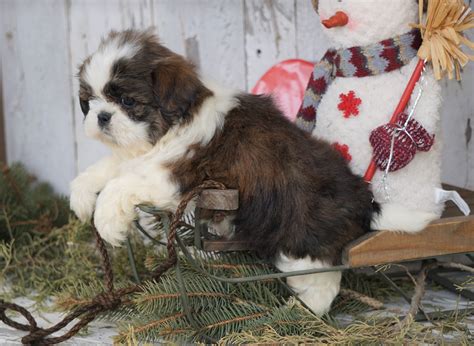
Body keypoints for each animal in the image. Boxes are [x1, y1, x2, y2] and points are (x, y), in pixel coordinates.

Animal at [70, 30, 380, 316]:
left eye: (127, 101)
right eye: (90, 100)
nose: (102, 116)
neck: (174, 125)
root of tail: (366, 202)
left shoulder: (174, 176)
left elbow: (120, 184)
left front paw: (106, 221)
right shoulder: (141, 157)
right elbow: (112, 167)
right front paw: (82, 195)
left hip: (302, 234)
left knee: (320, 281)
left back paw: (298, 312)